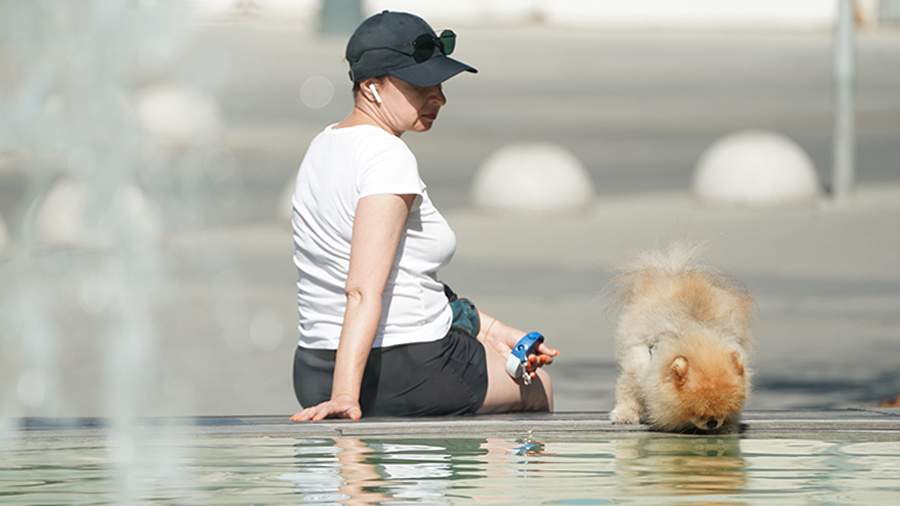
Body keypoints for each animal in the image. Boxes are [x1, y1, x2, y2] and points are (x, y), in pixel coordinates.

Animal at [612, 245, 752, 430]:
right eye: (698, 413)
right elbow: (628, 393)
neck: (696, 332)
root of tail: (674, 272)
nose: (713, 423)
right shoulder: (638, 367)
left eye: (725, 410)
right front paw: (625, 415)